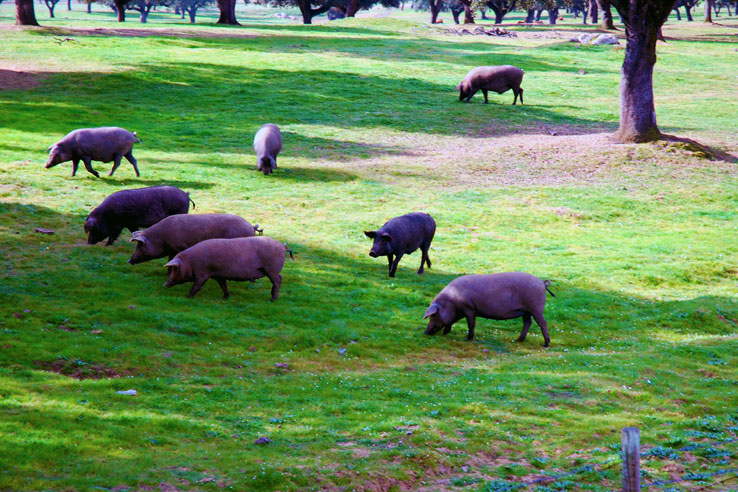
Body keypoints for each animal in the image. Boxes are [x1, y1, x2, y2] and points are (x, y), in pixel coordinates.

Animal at [164, 237, 293, 300]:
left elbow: (197, 286)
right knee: (280, 278)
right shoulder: (218, 275)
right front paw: (225, 297)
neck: (190, 262)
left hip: (271, 268)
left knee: (278, 280)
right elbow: (223, 285)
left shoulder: (203, 273)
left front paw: (188, 297)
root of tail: (282, 246)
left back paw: (273, 299)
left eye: (175, 269)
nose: (165, 284)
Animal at [423, 272, 555, 346]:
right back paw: (518, 340)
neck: (451, 300)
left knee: (543, 323)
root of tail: (542, 283)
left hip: (535, 308)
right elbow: (451, 322)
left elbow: (471, 324)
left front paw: (467, 338)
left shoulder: (469, 308)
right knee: (528, 322)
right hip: (526, 311)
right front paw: (446, 333)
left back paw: (545, 344)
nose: (425, 332)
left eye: (433, 315)